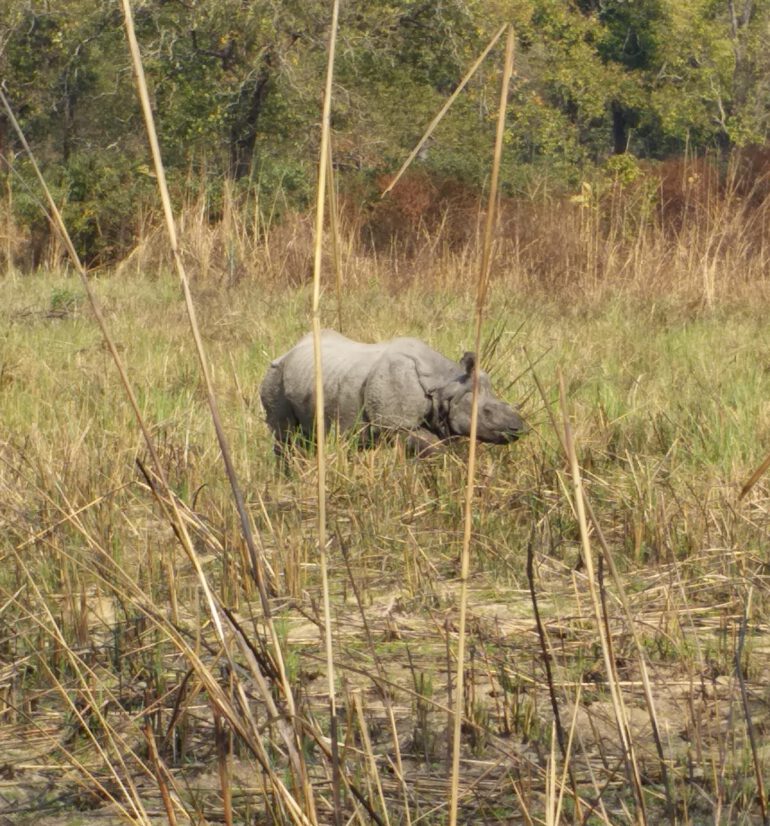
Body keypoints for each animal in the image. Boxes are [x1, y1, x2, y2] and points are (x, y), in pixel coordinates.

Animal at [260, 330, 527, 456]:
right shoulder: (397, 423)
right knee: (284, 435)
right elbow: (433, 447)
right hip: (274, 376)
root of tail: (288, 350)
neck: (445, 386)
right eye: (487, 411)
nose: (519, 429)